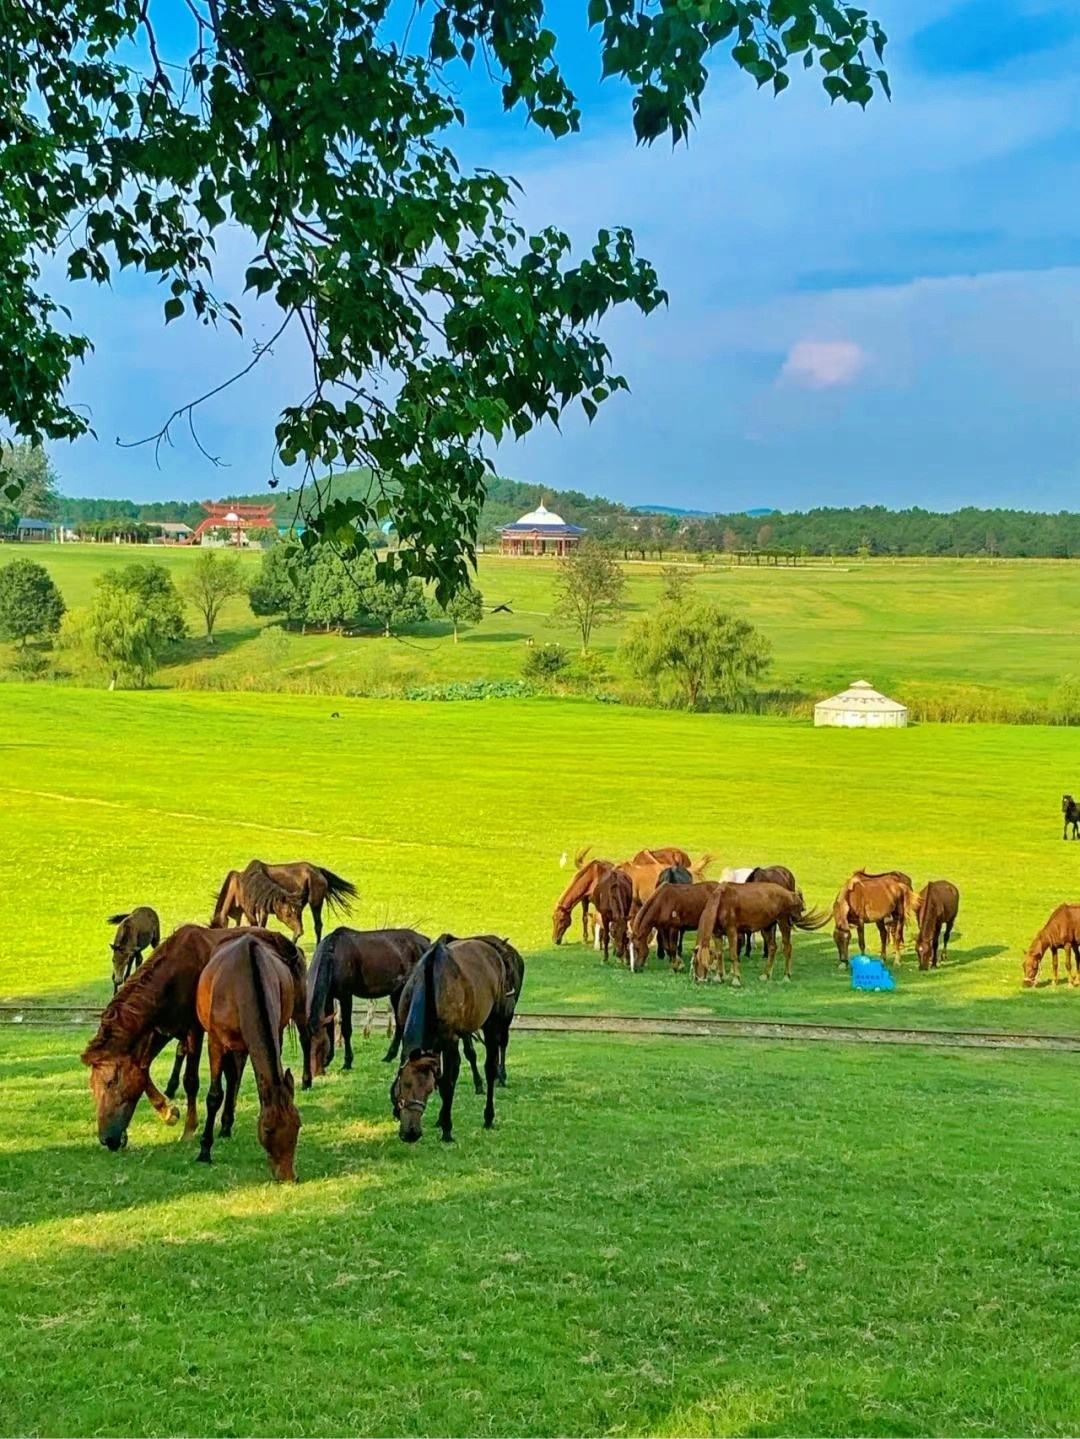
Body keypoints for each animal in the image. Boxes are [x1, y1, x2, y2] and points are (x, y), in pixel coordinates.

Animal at [82, 925, 303, 1151]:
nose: (106, 1139)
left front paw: (188, 1128)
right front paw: (168, 1112)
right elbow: (142, 1072)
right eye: (92, 1085)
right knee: (234, 1073)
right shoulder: (159, 1030)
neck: (174, 973)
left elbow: (190, 1080)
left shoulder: (193, 1030)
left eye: (110, 1082)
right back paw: (226, 1123)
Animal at [196, 932, 303, 1181]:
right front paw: (204, 1149)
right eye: (267, 1128)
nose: (288, 1176)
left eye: (298, 1124)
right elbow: (214, 1095)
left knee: (234, 1078)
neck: (242, 985)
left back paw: (226, 1125)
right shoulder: (215, 1041)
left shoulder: (276, 1032)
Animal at [305, 926, 431, 1083]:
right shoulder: (329, 996)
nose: (316, 1072)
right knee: (400, 1023)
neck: (333, 955)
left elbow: (346, 1029)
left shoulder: (346, 995)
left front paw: (347, 1062)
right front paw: (330, 1058)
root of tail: (426, 941)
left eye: (321, 1043)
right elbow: (330, 1026)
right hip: (397, 992)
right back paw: (390, 1056)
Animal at [391, 935, 524, 1143]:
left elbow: (447, 1083)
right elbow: (443, 1079)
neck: (430, 986)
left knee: (490, 1068)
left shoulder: (449, 1042)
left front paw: (447, 1128)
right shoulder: (433, 1047)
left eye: (428, 1090)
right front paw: (440, 1120)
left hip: (493, 1024)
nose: (411, 1133)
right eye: (404, 1084)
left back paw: (488, 1116)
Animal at [693, 883, 828, 985]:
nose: (699, 980)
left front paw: (736, 979)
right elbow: (719, 954)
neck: (721, 901)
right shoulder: (716, 934)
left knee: (787, 948)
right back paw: (765, 975)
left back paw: (786, 976)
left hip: (783, 923)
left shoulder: (732, 931)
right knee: (773, 947)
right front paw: (719, 977)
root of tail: (792, 894)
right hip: (768, 927)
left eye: (705, 963)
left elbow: (733, 955)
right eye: (695, 963)